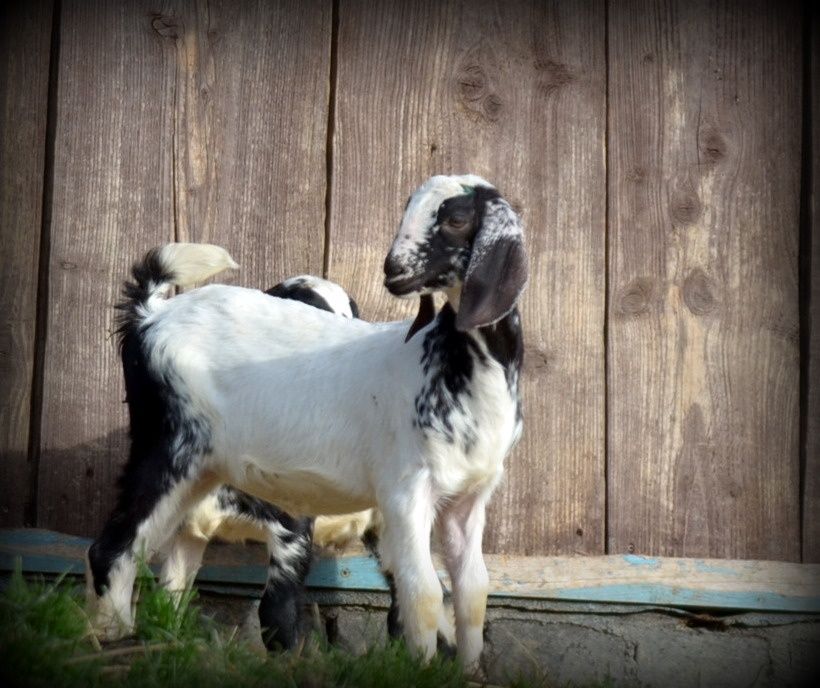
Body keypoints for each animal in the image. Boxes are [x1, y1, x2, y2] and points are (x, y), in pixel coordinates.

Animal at [86, 175, 528, 668]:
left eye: (456, 218)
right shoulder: (405, 490)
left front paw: (466, 671)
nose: (393, 270)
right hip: (167, 443)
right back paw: (113, 640)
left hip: (200, 470)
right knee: (114, 546)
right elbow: (423, 592)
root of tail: (152, 313)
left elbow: (473, 590)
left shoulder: (467, 498)